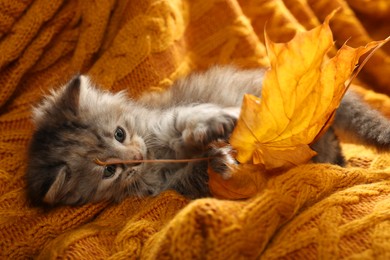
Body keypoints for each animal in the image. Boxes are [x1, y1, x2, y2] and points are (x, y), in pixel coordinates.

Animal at [25, 66, 390, 206]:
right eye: (109, 171)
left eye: (119, 133)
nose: (137, 157)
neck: (157, 156)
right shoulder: (170, 184)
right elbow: (195, 173)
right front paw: (218, 161)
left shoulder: (167, 118)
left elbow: (190, 122)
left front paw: (218, 126)